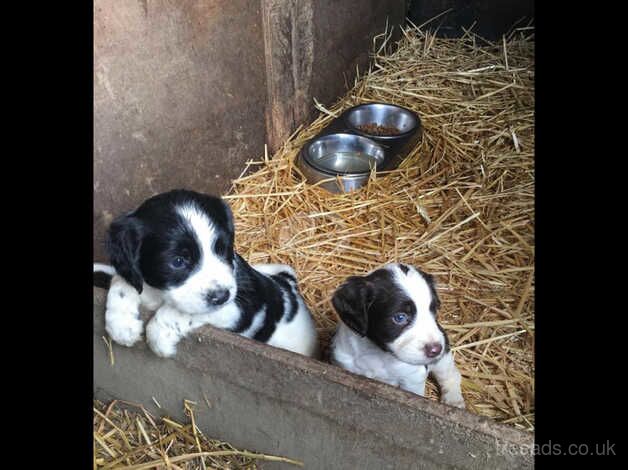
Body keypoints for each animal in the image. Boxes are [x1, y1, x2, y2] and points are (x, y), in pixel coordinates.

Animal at [97, 189, 318, 358]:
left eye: (222, 250)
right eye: (178, 261)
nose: (222, 296)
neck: (160, 293)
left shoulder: (236, 309)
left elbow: (184, 311)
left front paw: (160, 336)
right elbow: (122, 281)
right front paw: (121, 324)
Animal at [332, 264, 464, 408]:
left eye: (433, 310)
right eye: (400, 317)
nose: (436, 349)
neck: (378, 354)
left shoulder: (412, 379)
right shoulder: (345, 367)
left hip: (442, 359)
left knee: (451, 375)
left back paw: (454, 400)